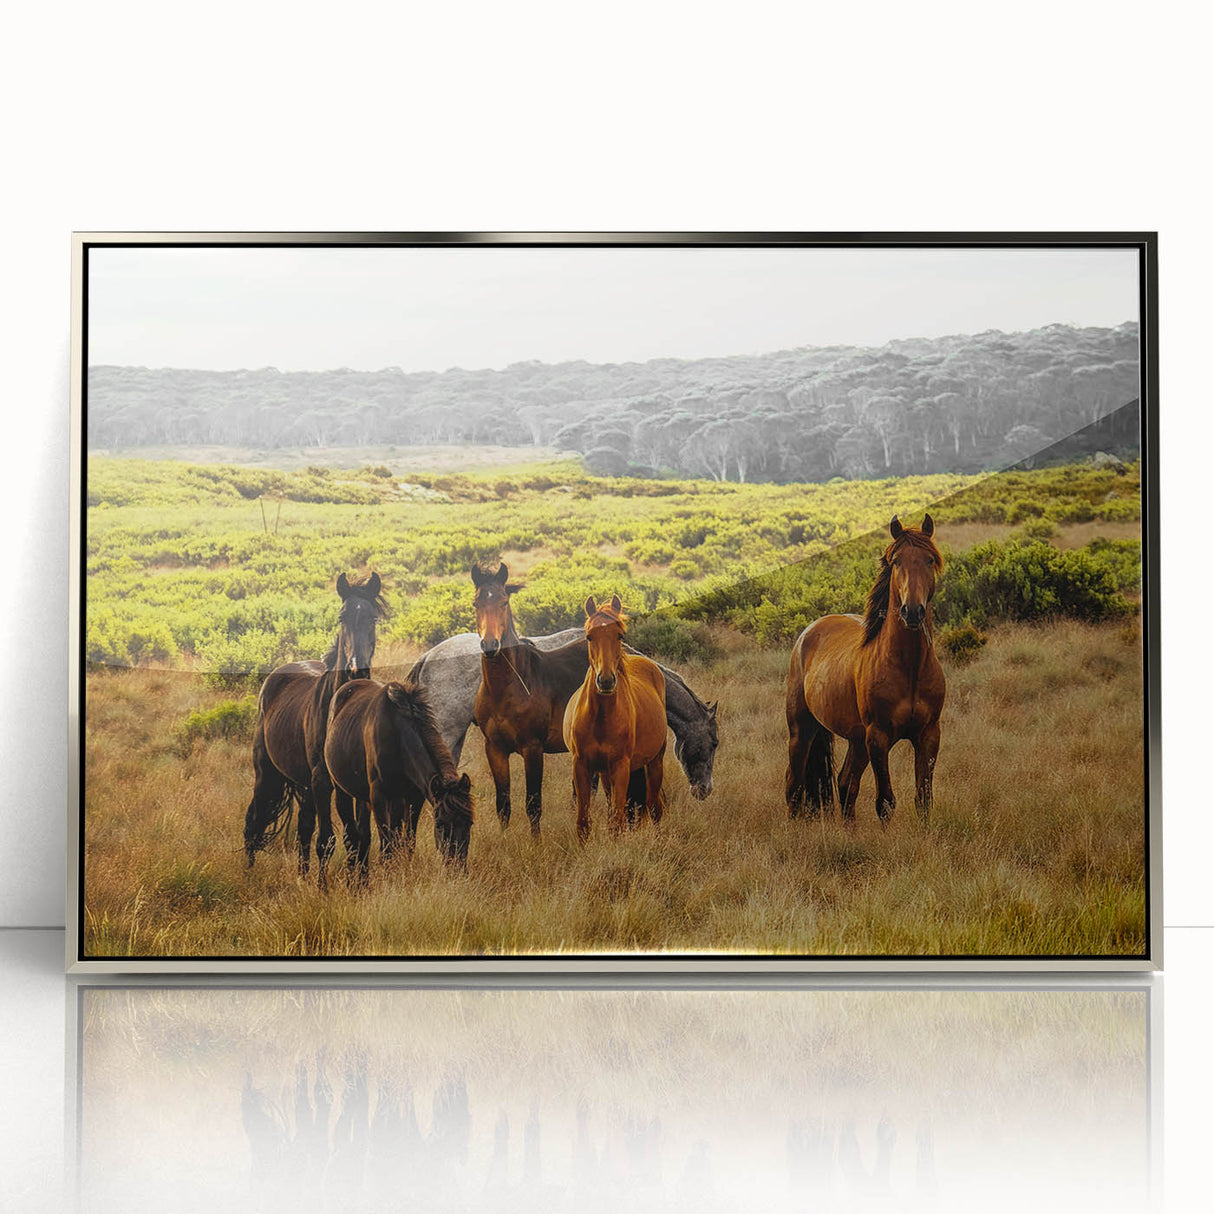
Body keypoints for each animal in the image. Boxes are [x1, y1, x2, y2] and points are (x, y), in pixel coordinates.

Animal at [243, 572, 388, 888]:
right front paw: (324, 890)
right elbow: (328, 840)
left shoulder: (355, 785)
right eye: (342, 617)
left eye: (372, 618)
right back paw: (247, 873)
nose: (358, 669)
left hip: (305, 786)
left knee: (303, 829)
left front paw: (360, 885)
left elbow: (360, 837)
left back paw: (302, 876)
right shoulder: (322, 780)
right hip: (267, 774)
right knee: (253, 821)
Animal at [324, 678, 474, 873]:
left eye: (469, 823)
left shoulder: (414, 797)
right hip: (343, 791)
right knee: (351, 836)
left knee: (365, 835)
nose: (457, 868)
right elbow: (387, 846)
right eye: (440, 824)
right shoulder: (379, 796)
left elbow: (407, 841)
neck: (397, 735)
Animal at [563, 594, 667, 842]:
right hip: (604, 772)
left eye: (619, 635)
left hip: (655, 762)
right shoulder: (582, 765)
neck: (600, 718)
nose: (606, 681)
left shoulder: (621, 767)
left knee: (655, 806)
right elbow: (583, 822)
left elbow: (617, 821)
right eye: (589, 636)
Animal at [785, 514, 945, 823]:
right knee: (794, 786)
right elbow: (885, 802)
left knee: (845, 783)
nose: (912, 611)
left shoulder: (929, 734)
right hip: (802, 730)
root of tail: (808, 633)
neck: (909, 668)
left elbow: (924, 799)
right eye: (896, 561)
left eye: (929, 559)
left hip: (857, 740)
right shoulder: (879, 738)